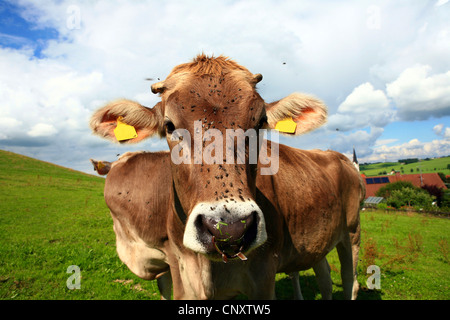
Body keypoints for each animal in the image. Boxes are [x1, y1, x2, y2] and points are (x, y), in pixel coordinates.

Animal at [89, 55, 364, 300]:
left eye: (260, 122)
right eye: (169, 126)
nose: (230, 229)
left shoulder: (264, 278)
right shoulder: (181, 274)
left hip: (352, 232)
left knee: (351, 283)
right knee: (325, 278)